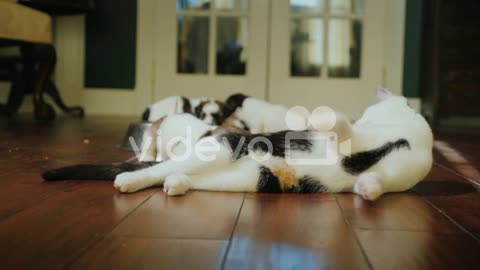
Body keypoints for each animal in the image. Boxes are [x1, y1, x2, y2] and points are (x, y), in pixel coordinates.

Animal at [44, 88, 436, 200]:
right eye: (368, 112)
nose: (365, 116)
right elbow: (339, 128)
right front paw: (326, 118)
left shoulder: (400, 172)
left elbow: (377, 182)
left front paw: (368, 188)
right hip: (223, 147)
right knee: (154, 169)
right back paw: (130, 180)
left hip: (241, 175)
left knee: (172, 174)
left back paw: (175, 184)